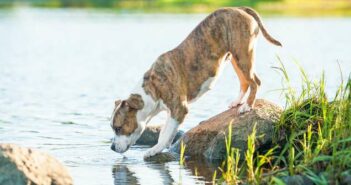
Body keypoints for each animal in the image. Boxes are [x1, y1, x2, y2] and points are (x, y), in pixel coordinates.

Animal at [111, 6, 282, 158]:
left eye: (118, 128)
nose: (112, 147)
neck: (152, 88)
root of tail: (240, 8)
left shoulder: (179, 109)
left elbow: (165, 134)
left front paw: (154, 150)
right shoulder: (171, 112)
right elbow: (165, 132)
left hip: (243, 54)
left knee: (255, 82)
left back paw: (247, 106)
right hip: (235, 57)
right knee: (245, 82)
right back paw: (237, 102)